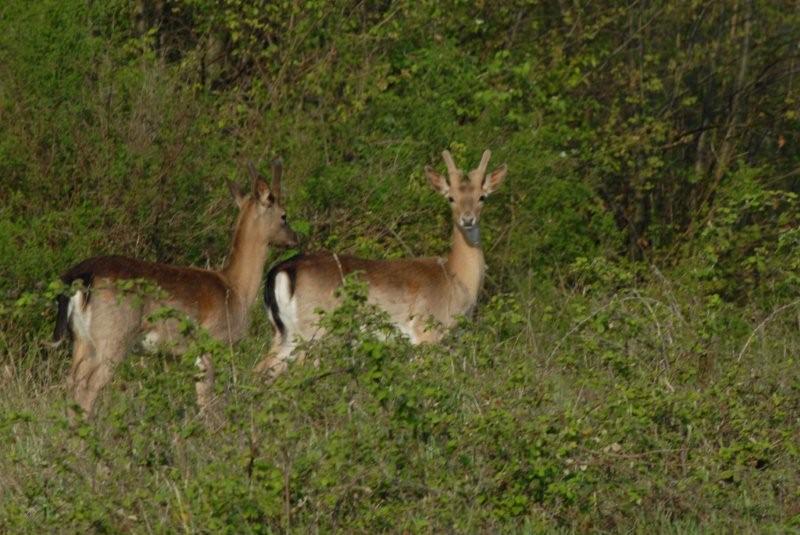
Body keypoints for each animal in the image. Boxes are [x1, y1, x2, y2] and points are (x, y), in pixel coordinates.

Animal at [53, 159, 298, 418]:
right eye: (284, 215)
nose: (295, 238)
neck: (235, 289)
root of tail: (80, 276)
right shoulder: (211, 342)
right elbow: (207, 400)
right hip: (112, 337)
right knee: (89, 388)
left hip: (81, 339)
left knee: (72, 385)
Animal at [253, 149, 510, 378]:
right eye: (450, 197)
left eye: (482, 197)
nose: (468, 219)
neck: (455, 278)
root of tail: (281, 271)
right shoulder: (426, 333)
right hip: (314, 330)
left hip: (285, 333)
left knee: (261, 368)